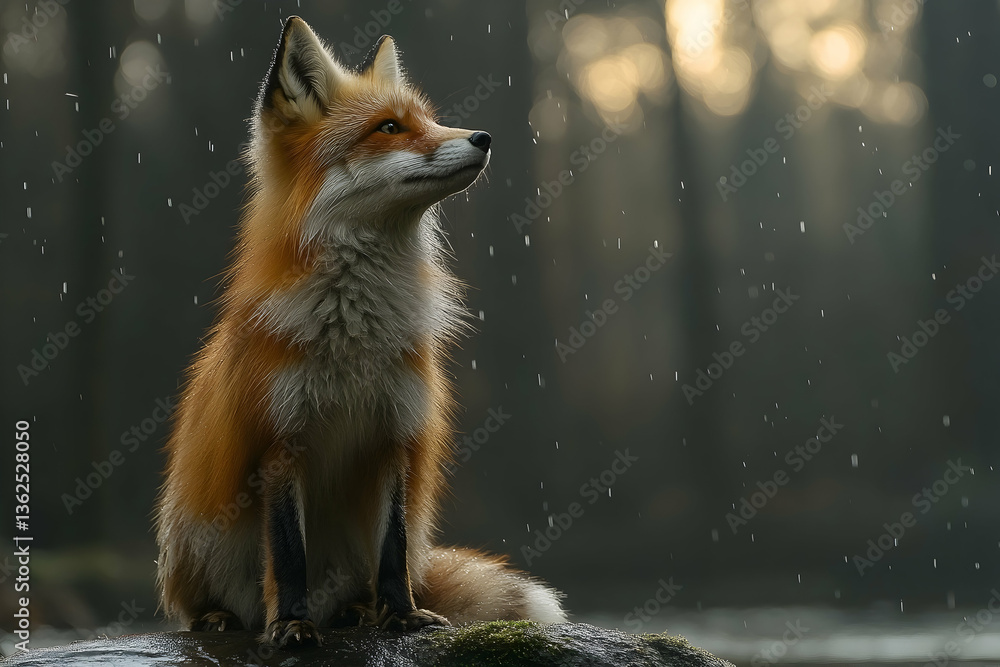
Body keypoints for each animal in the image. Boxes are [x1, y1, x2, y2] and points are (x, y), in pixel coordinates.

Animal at [154, 16, 567, 647]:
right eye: (389, 128)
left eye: (429, 120)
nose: (484, 137)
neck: (354, 336)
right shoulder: (281, 441)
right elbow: (288, 555)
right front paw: (291, 625)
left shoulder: (394, 433)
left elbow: (392, 548)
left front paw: (402, 615)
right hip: (194, 535)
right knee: (212, 603)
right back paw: (222, 617)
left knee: (374, 575)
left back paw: (358, 611)